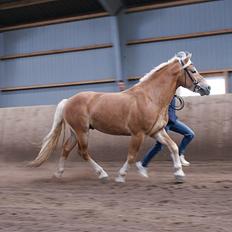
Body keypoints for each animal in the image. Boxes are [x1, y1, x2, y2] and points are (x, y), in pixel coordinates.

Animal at [28, 51, 210, 183]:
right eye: (193, 70)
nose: (207, 88)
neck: (150, 97)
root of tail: (68, 101)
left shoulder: (156, 131)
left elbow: (173, 147)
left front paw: (179, 174)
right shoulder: (138, 134)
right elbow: (131, 156)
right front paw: (121, 176)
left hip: (76, 132)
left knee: (66, 149)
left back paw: (58, 174)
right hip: (82, 132)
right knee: (83, 152)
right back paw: (102, 174)